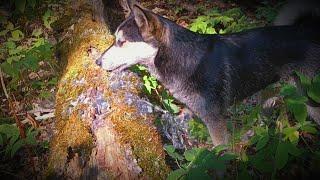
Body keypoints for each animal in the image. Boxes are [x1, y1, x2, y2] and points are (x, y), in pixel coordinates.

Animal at [97, 0, 320, 146]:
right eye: (115, 40)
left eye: (122, 42)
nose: (97, 61)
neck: (187, 60)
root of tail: (309, 29)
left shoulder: (215, 122)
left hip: (311, 99)